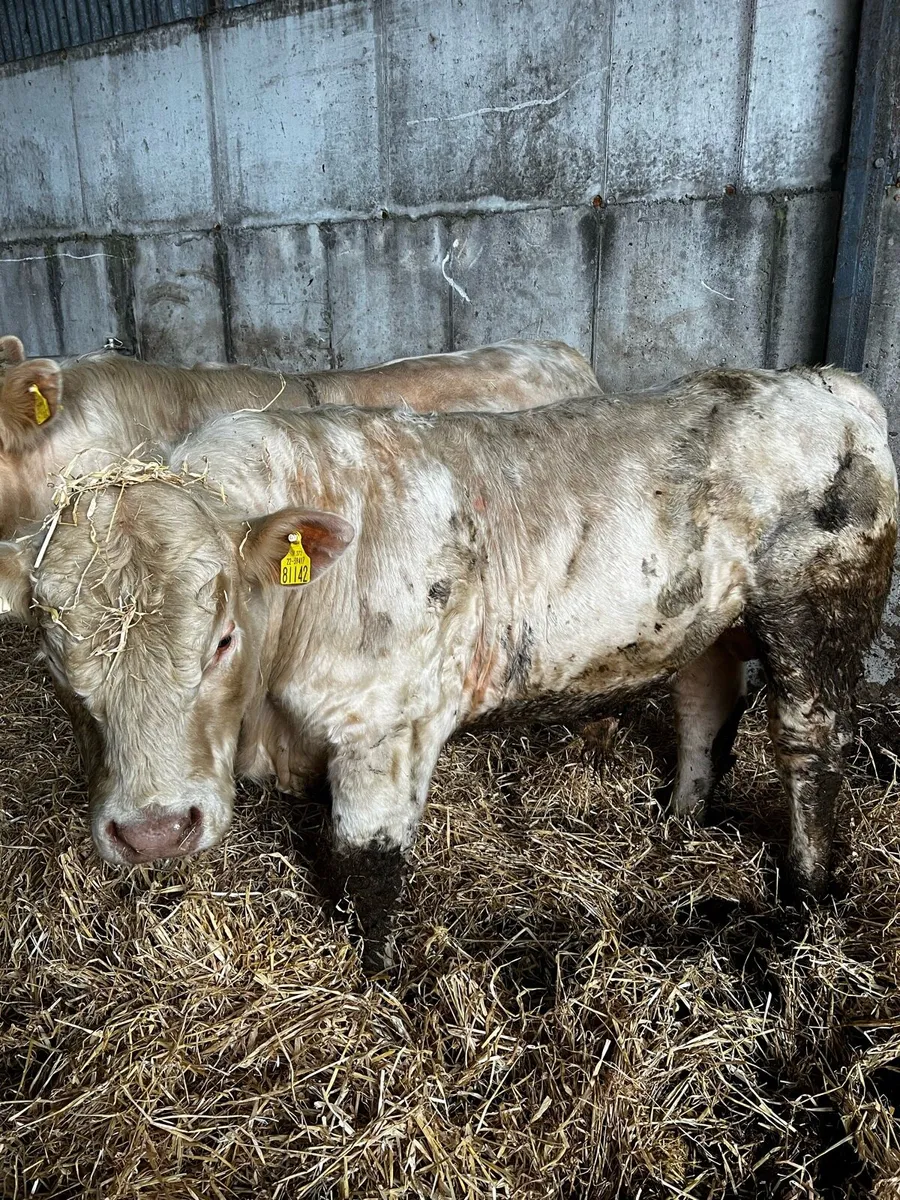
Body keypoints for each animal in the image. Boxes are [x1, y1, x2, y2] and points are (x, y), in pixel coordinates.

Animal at [0, 366, 894, 968]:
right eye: (50, 652)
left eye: (220, 639)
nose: (154, 833)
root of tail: (826, 383)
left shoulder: (383, 729)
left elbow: (368, 865)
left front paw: (377, 980)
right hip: (708, 622)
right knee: (706, 706)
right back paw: (680, 821)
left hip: (815, 610)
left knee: (809, 742)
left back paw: (808, 893)